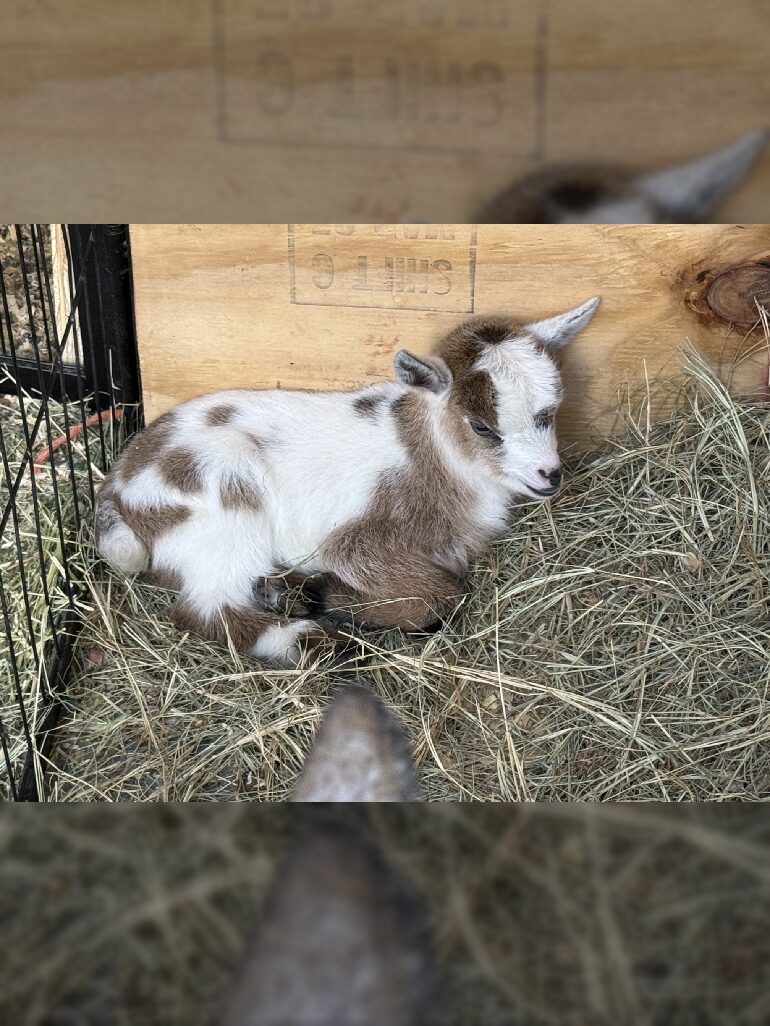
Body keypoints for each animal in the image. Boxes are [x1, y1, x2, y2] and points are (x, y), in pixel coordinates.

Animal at [95, 298, 600, 666]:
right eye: (481, 427)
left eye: (551, 410)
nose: (549, 475)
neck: (431, 453)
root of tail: (119, 482)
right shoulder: (357, 540)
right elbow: (445, 597)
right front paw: (322, 594)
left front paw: (309, 590)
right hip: (224, 500)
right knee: (207, 610)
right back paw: (313, 642)